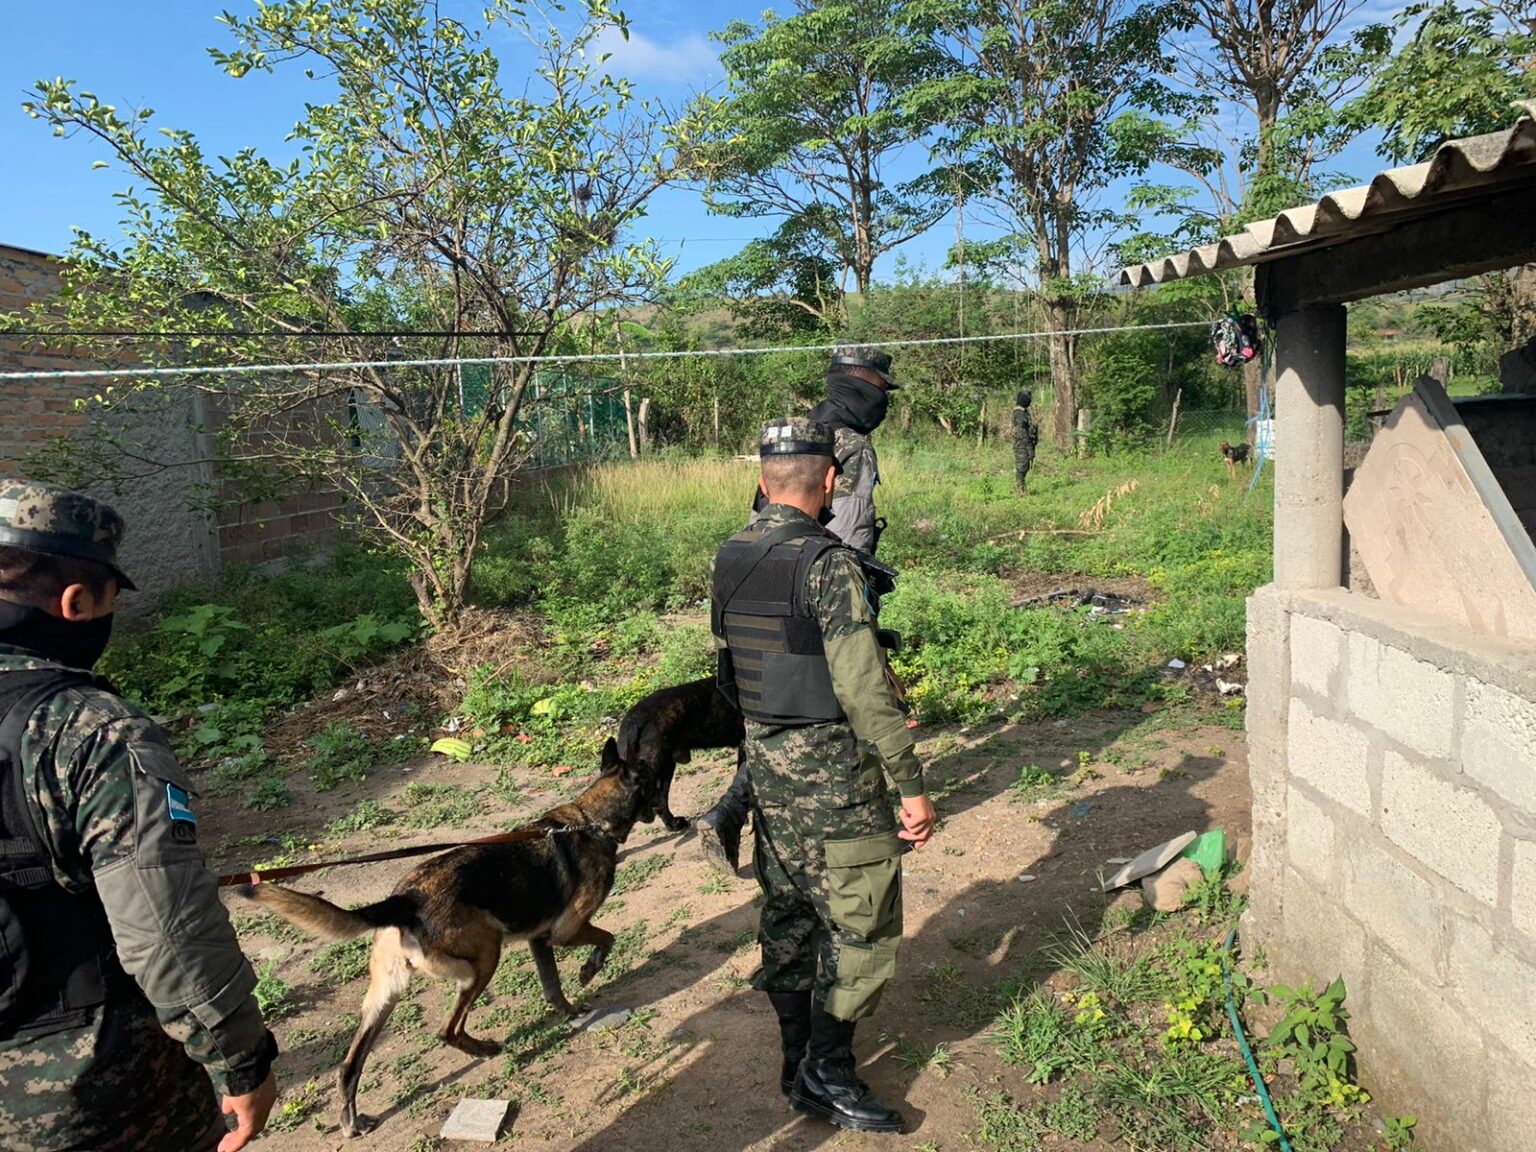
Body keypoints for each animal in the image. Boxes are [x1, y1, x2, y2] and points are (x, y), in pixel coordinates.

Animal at [231, 752, 655, 1137]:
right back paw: (483, 1049)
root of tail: (404, 900)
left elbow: (553, 987)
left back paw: (352, 1123)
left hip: (385, 996)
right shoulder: (564, 931)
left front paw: (568, 1008)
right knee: (447, 1029)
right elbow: (607, 938)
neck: (588, 820)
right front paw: (589, 970)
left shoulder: (539, 939)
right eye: (651, 777)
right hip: (484, 958)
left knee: (349, 1066)